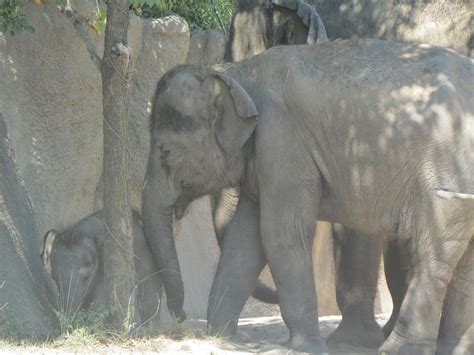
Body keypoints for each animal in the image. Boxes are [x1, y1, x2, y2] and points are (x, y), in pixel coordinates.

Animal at [143, 37, 474, 354]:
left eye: (165, 152)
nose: (181, 317)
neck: (235, 72)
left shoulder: (282, 140)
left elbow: (280, 233)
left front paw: (307, 347)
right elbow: (245, 238)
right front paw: (221, 337)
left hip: (444, 168)